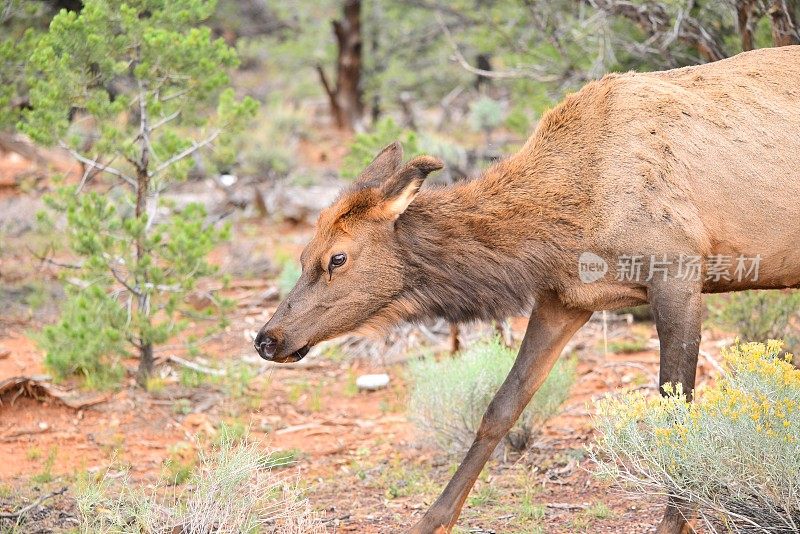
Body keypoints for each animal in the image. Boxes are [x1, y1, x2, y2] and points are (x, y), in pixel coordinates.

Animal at [256, 47, 800, 534]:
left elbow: (676, 413)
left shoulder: (679, 273)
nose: (267, 338)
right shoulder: (564, 299)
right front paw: (433, 519)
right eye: (302, 255)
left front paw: (675, 521)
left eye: (337, 258)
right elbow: (501, 406)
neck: (563, 221)